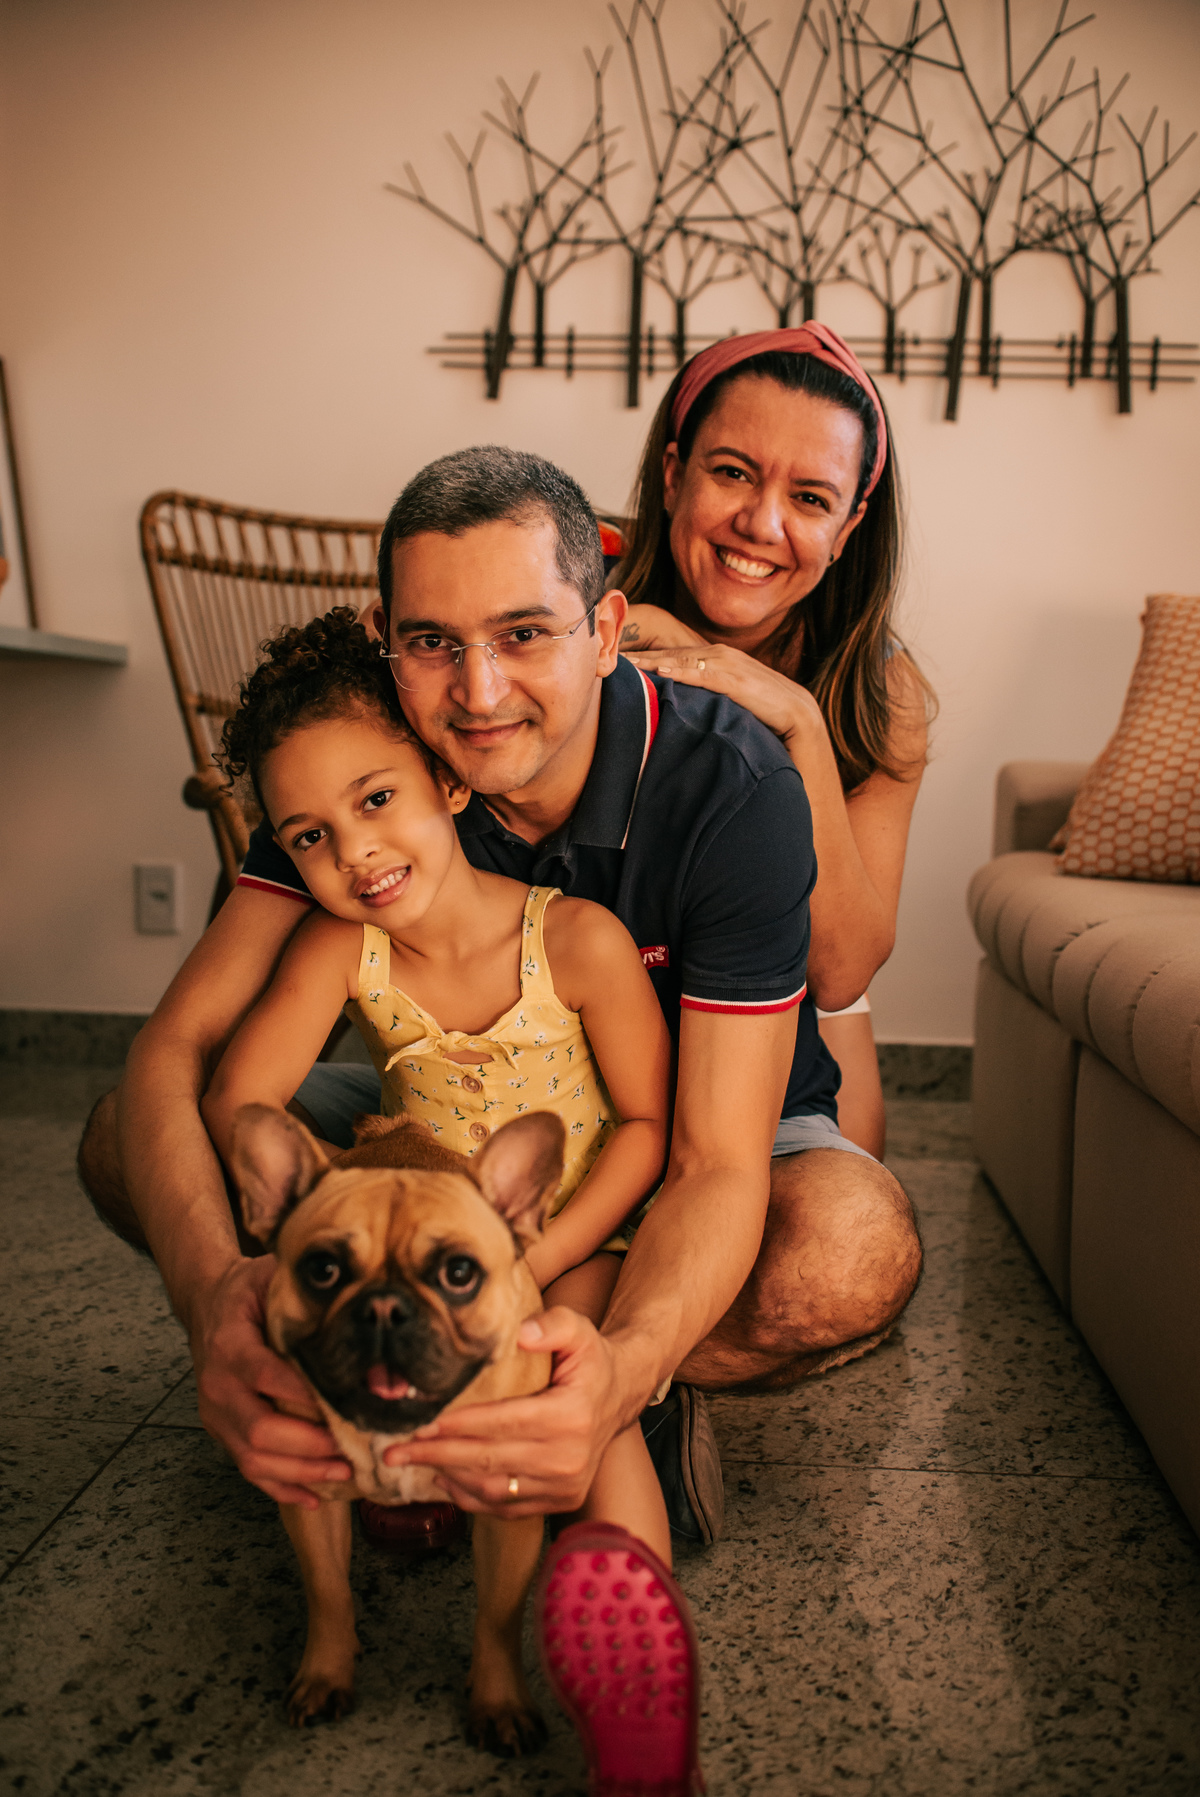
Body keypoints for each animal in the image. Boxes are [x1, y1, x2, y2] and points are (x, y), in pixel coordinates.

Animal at [230, 1102, 565, 1754]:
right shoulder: (311, 1500)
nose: (384, 1308)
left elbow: (498, 1615)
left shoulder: (509, 1512)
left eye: (460, 1273)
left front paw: (499, 1702)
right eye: (322, 1270)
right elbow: (328, 1591)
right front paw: (326, 1675)